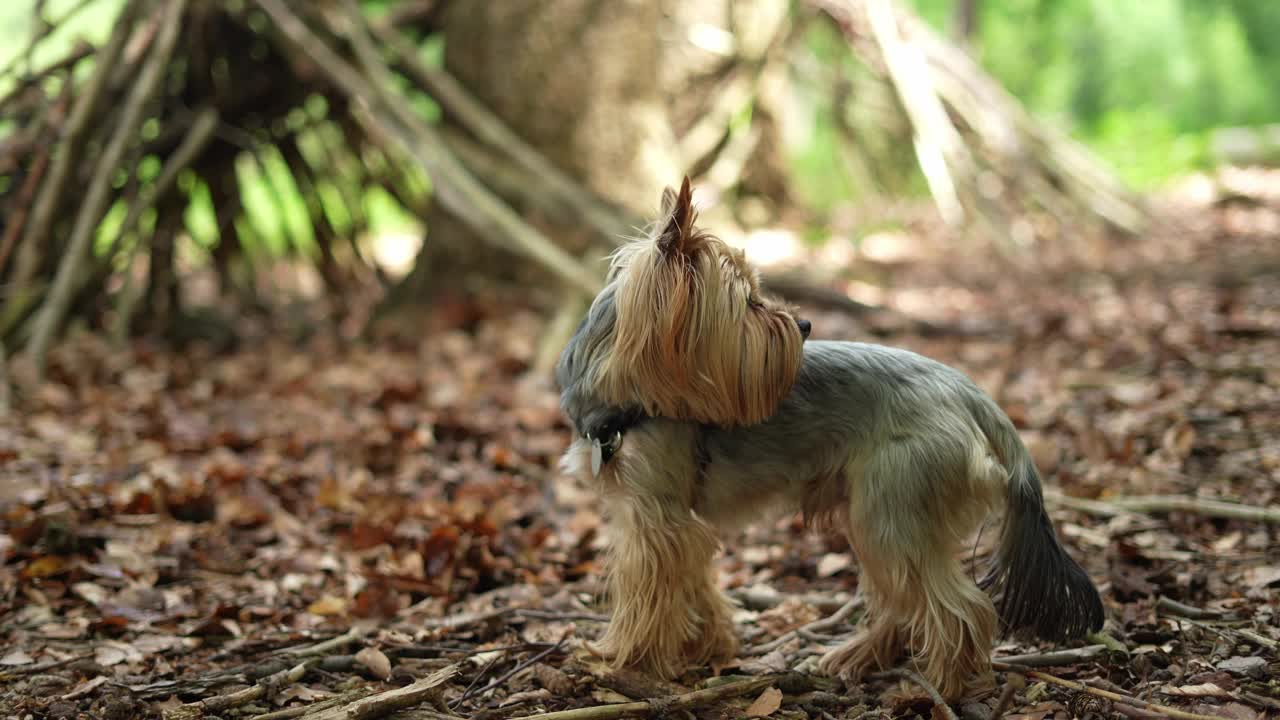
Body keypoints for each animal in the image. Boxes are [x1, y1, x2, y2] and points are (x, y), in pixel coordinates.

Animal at [555, 176, 1105, 696]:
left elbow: (646, 596)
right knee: (899, 599)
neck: (625, 397)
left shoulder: (657, 519)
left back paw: (943, 686)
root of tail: (972, 394)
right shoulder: (662, 520)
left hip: (892, 510)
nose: (803, 322)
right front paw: (707, 645)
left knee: (960, 607)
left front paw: (622, 660)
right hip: (875, 514)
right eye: (749, 302)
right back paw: (860, 657)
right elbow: (694, 584)